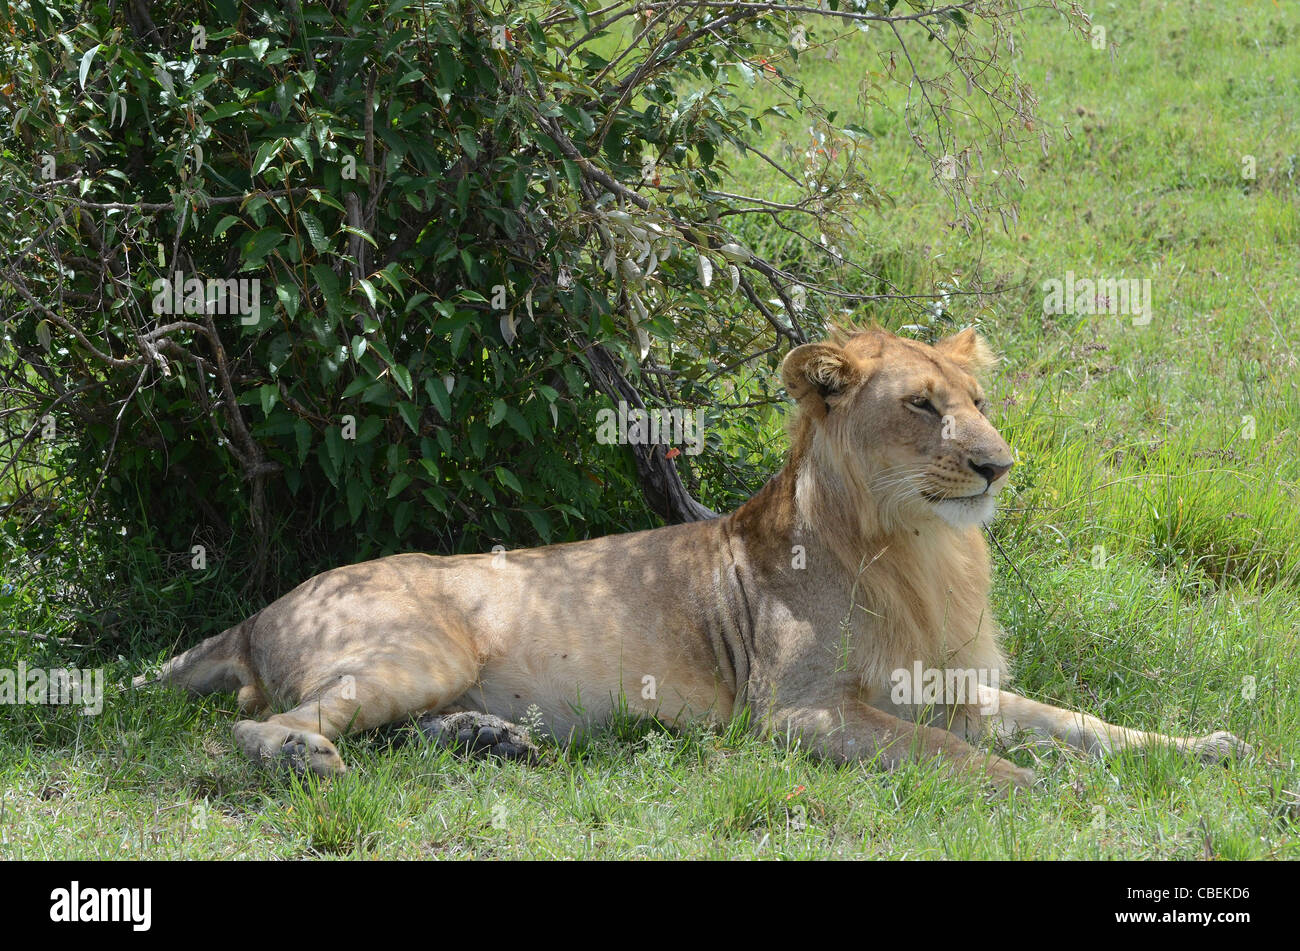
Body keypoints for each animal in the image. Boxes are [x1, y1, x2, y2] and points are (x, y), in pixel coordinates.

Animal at [134, 326, 1249, 791]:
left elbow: (1078, 722)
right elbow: (956, 757)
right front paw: (1044, 794)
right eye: (922, 406)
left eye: (978, 400)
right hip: (419, 647)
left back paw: (487, 740)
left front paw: (1204, 748)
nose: (996, 463)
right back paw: (302, 760)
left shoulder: (953, 684)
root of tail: (258, 611)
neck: (922, 550)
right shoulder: (796, 714)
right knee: (266, 726)